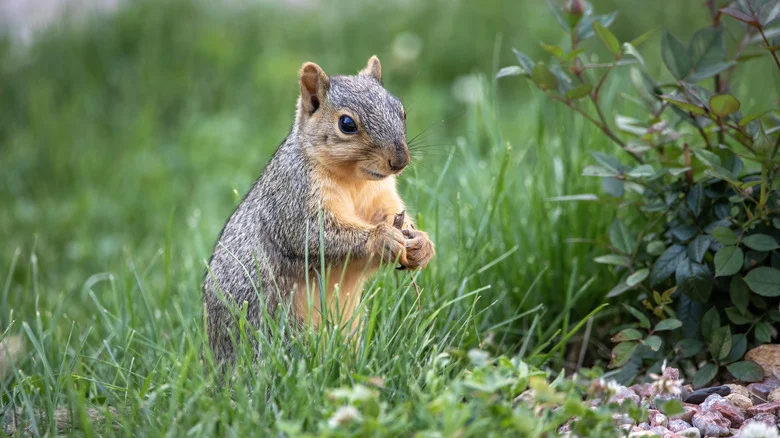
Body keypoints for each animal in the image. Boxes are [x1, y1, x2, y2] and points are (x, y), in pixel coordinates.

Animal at [202, 56, 435, 364]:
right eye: (346, 124)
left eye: (402, 111)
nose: (400, 161)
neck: (354, 180)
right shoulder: (292, 198)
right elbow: (314, 235)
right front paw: (381, 237)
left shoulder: (382, 197)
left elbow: (391, 216)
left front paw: (421, 243)